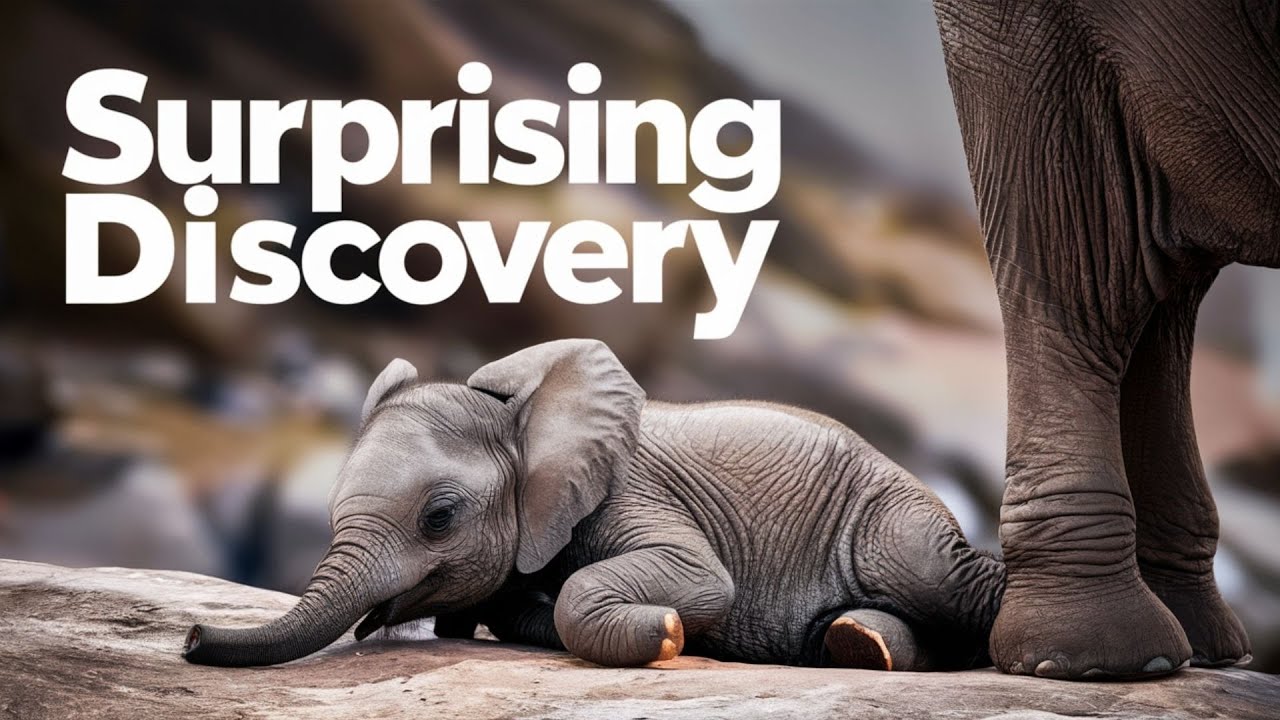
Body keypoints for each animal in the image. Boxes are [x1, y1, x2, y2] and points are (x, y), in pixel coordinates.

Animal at [182, 339, 1005, 670]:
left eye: (438, 519)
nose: (190, 637)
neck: (521, 420)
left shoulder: (627, 492)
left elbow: (699, 579)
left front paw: (668, 632)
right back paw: (859, 644)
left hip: (891, 526)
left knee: (945, 579)